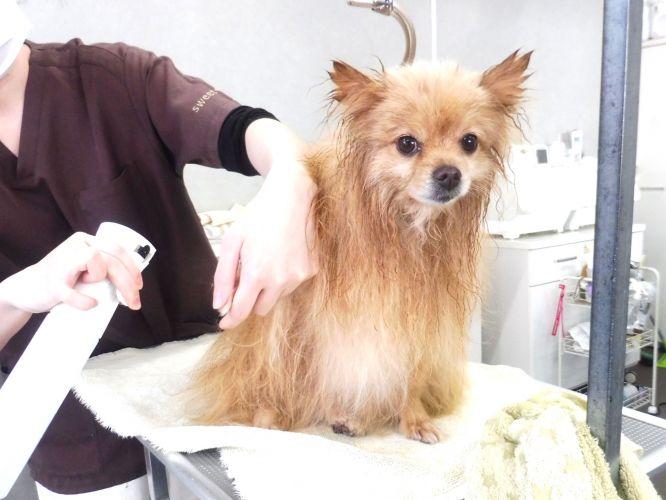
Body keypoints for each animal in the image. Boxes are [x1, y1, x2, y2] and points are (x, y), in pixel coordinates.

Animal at [194, 51, 531, 443]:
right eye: (407, 144)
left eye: (469, 142)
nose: (449, 173)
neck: (402, 227)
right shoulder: (302, 318)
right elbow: (297, 373)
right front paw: (277, 416)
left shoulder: (418, 321)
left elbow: (410, 379)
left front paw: (414, 419)